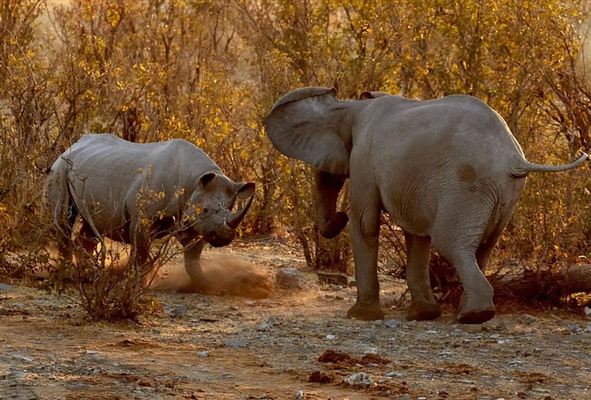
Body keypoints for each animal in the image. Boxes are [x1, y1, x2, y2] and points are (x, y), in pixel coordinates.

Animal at [46, 134, 256, 288]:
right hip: (60, 168)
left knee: (93, 225)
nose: (223, 238)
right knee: (64, 217)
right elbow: (141, 251)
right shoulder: (143, 217)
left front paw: (206, 284)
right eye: (205, 210)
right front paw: (138, 283)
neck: (195, 180)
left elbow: (192, 256)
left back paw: (89, 275)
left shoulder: (189, 219)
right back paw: (69, 274)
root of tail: (75, 144)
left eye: (230, 208)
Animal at [266, 86, 588, 324]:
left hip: (468, 186)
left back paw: (473, 316)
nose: (338, 216)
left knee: (451, 243)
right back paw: (468, 312)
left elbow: (365, 224)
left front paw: (361, 316)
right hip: (504, 193)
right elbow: (416, 236)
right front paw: (423, 315)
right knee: (482, 247)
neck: (351, 106)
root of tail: (514, 158)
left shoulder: (364, 159)